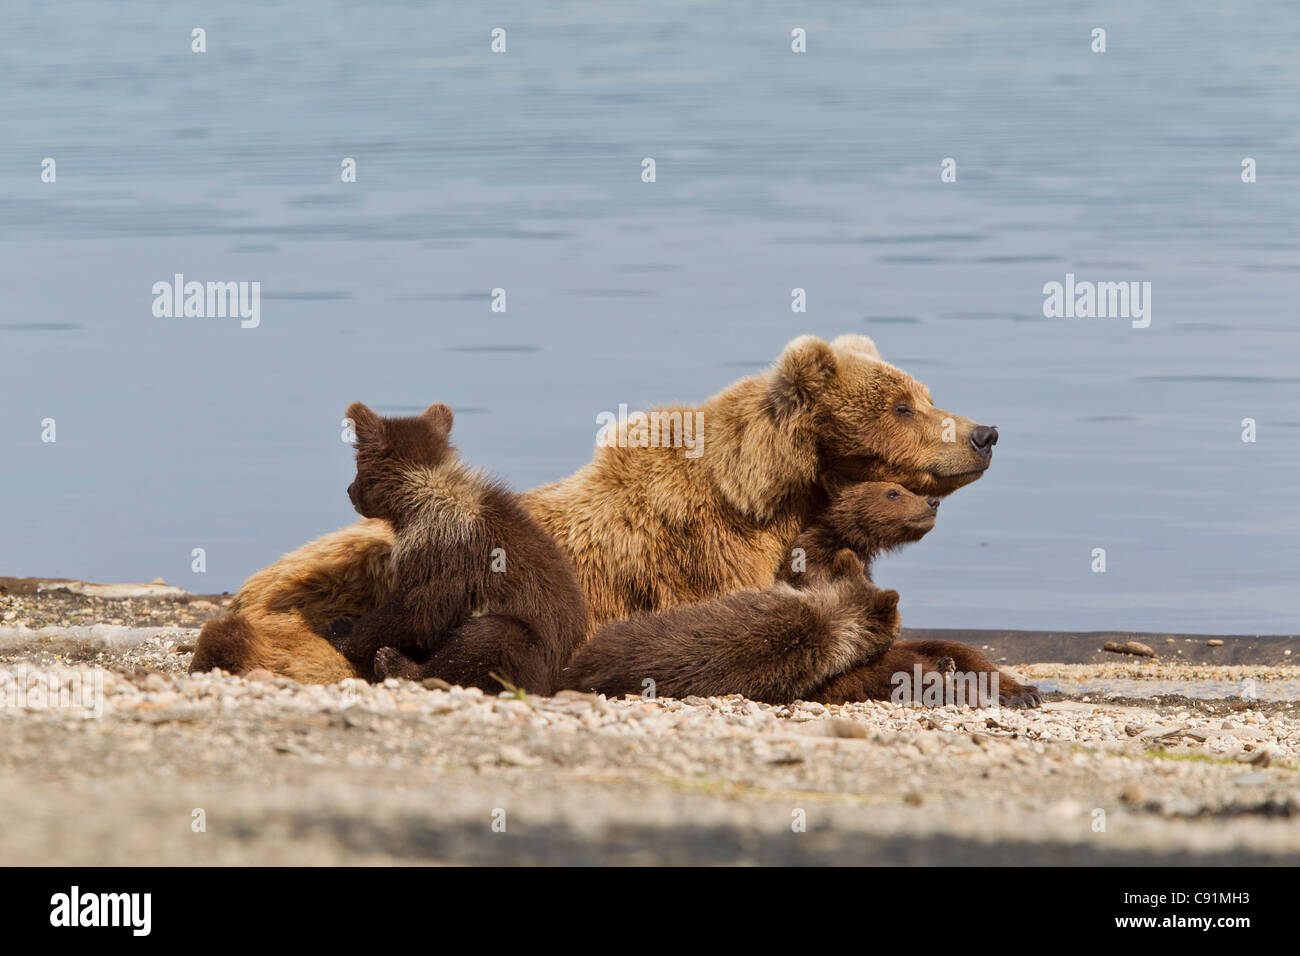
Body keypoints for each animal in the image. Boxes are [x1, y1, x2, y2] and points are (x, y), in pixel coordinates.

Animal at [318, 401, 587, 693]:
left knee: (489, 636)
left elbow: (417, 613)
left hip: (531, 646)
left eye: (358, 464)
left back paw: (396, 663)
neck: (417, 502)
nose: (350, 490)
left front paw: (343, 629)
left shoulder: (443, 549)